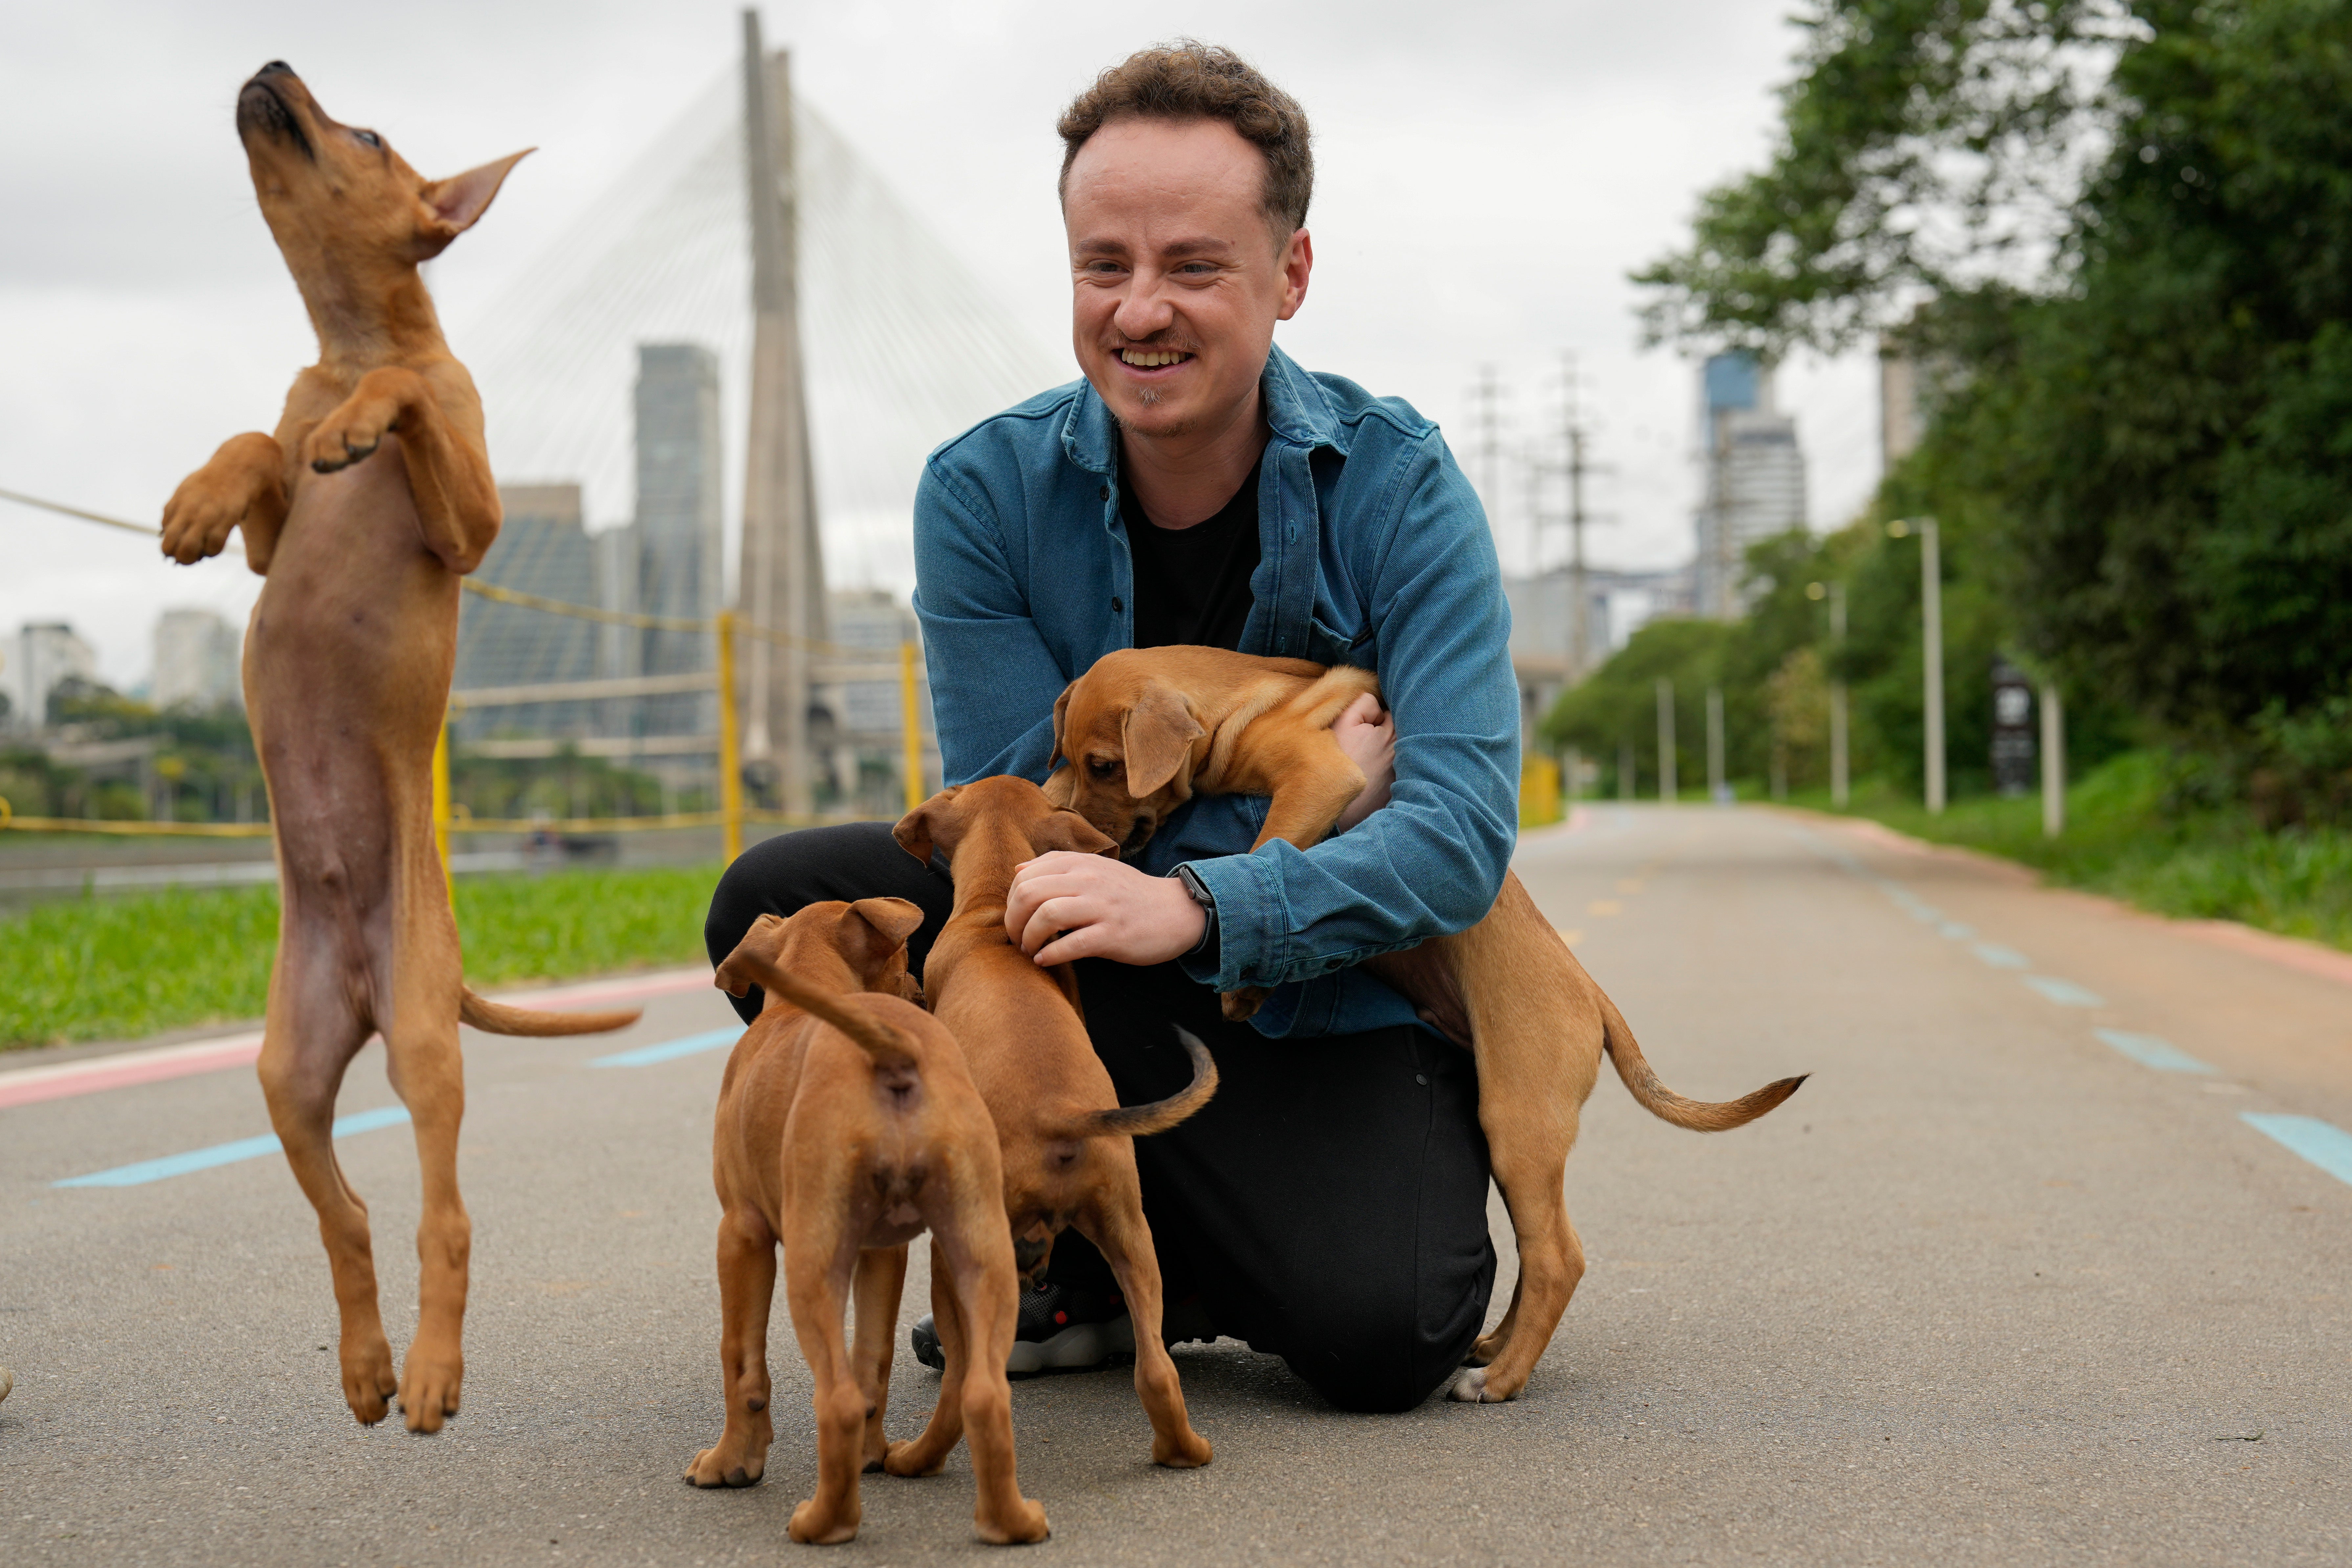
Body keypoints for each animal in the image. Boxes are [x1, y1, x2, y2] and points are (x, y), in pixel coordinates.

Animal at [153, 61, 640, 1439]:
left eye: (365, 132)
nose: (269, 68)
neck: (350, 347)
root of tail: (375, 984)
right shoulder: (277, 534)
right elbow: (257, 454)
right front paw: (199, 499)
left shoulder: (472, 519)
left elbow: (412, 404)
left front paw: (361, 429)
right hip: (286, 1064)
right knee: (352, 1211)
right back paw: (366, 1366)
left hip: (426, 1041)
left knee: (444, 1215)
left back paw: (429, 1371)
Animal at [687, 903, 1039, 1551]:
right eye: (903, 960)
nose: (922, 992)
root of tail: (891, 1051)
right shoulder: (884, 1253)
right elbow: (872, 1355)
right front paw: (873, 1457)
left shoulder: (741, 1235)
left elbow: (742, 1360)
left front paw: (730, 1464)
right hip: (980, 1251)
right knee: (981, 1393)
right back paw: (1013, 1522)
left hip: (811, 1267)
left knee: (838, 1400)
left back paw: (825, 1522)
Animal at [884, 780, 1213, 1476]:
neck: (993, 917)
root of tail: (1057, 1117)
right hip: (1130, 1233)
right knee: (1155, 1372)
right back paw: (1183, 1450)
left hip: (961, 1251)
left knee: (965, 1385)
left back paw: (916, 1458)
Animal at [1044, 644, 1797, 1401]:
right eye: (1072, 759)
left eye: (1105, 764)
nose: (1084, 836)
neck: (1235, 704)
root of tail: (1592, 993)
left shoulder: (1318, 778)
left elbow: (1266, 846)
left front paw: (1244, 980)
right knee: (1537, 1250)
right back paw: (1493, 1346)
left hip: (1518, 1121)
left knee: (1558, 1255)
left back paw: (1499, 1380)